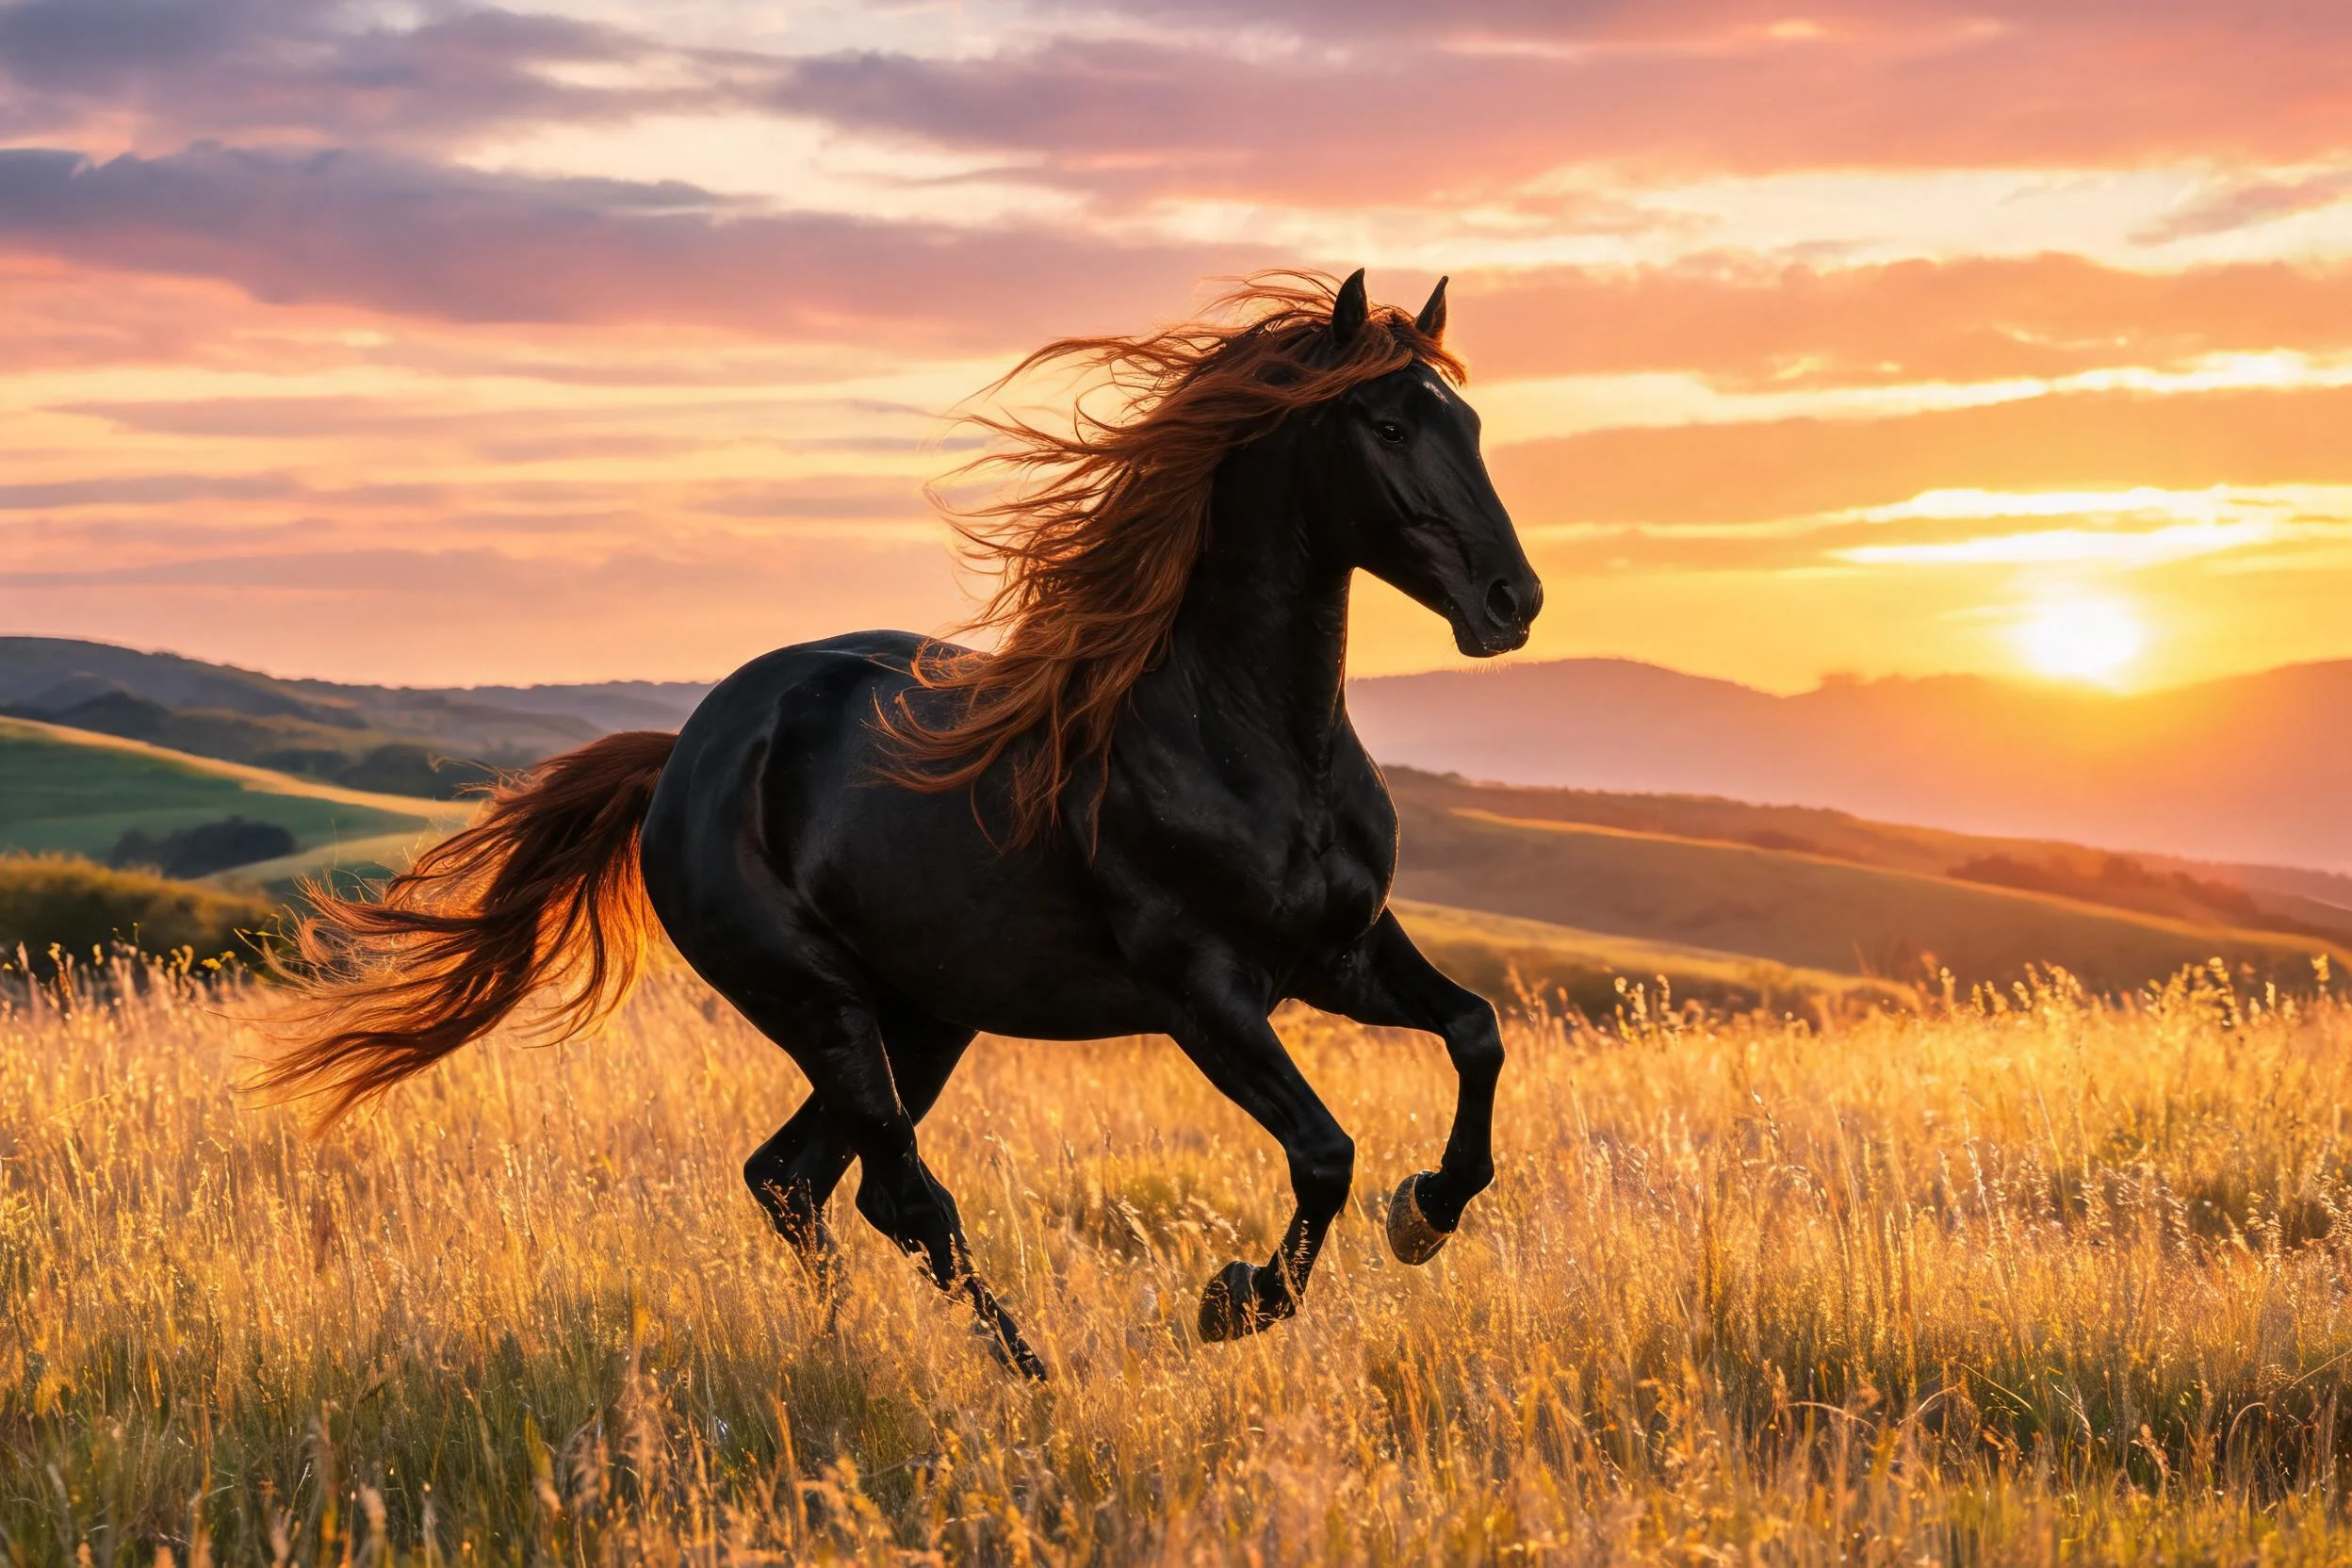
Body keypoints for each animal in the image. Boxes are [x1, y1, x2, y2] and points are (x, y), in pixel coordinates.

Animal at [262, 269, 1542, 1380]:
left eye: (1472, 421)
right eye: (1386, 424)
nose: (1511, 601)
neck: (1240, 737)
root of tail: (684, 758)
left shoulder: (1339, 953)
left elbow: (1476, 1032)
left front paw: (1425, 1212)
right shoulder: (1204, 992)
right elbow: (1325, 1151)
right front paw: (1237, 1300)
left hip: (923, 1014)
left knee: (799, 1177)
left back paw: (850, 1349)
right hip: (818, 1003)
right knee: (897, 1189)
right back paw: (1029, 1371)